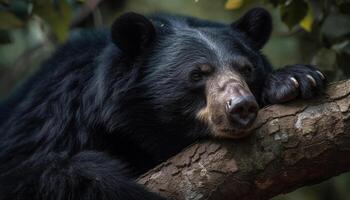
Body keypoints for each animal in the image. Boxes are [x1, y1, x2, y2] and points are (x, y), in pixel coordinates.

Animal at [0, 7, 326, 200]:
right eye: (197, 74)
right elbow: (33, 170)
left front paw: (296, 80)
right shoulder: (49, 120)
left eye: (246, 69)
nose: (241, 106)